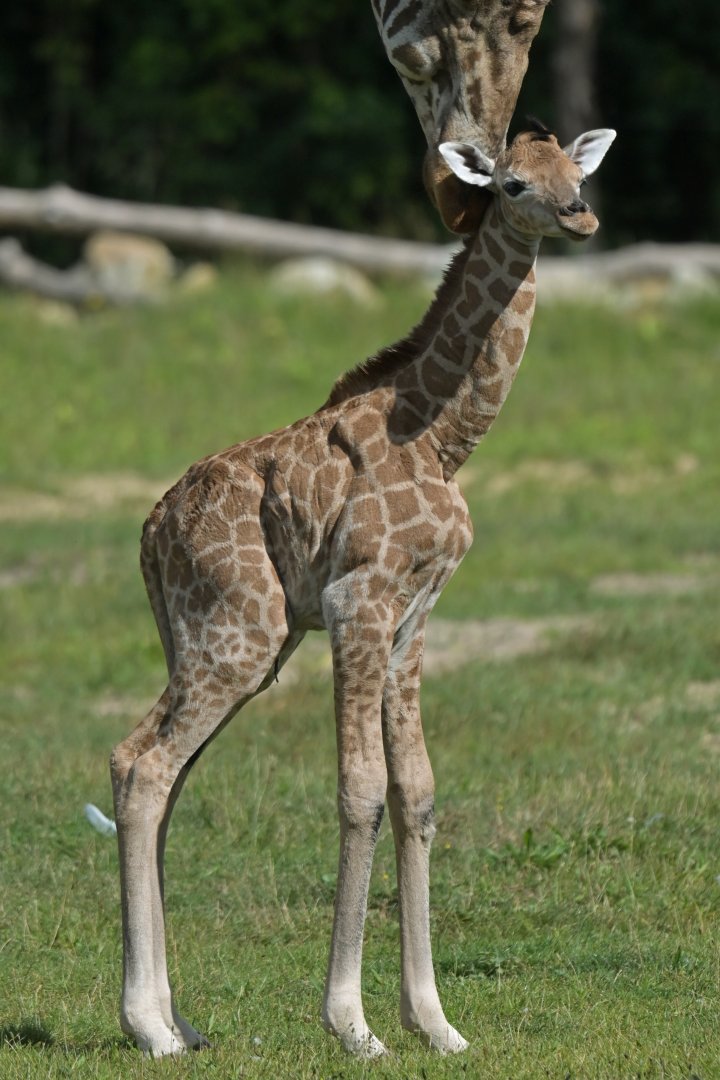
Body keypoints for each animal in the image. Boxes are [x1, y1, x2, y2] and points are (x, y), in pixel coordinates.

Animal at [110, 122, 615, 1058]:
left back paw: (178, 1021)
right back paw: (150, 1028)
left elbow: (416, 789)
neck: (446, 437)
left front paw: (437, 1022)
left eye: (577, 168)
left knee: (154, 775)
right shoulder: (358, 601)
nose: (581, 215)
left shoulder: (416, 614)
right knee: (146, 764)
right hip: (238, 636)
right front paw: (353, 1024)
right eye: (515, 182)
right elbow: (361, 789)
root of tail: (151, 533)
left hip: (226, 643)